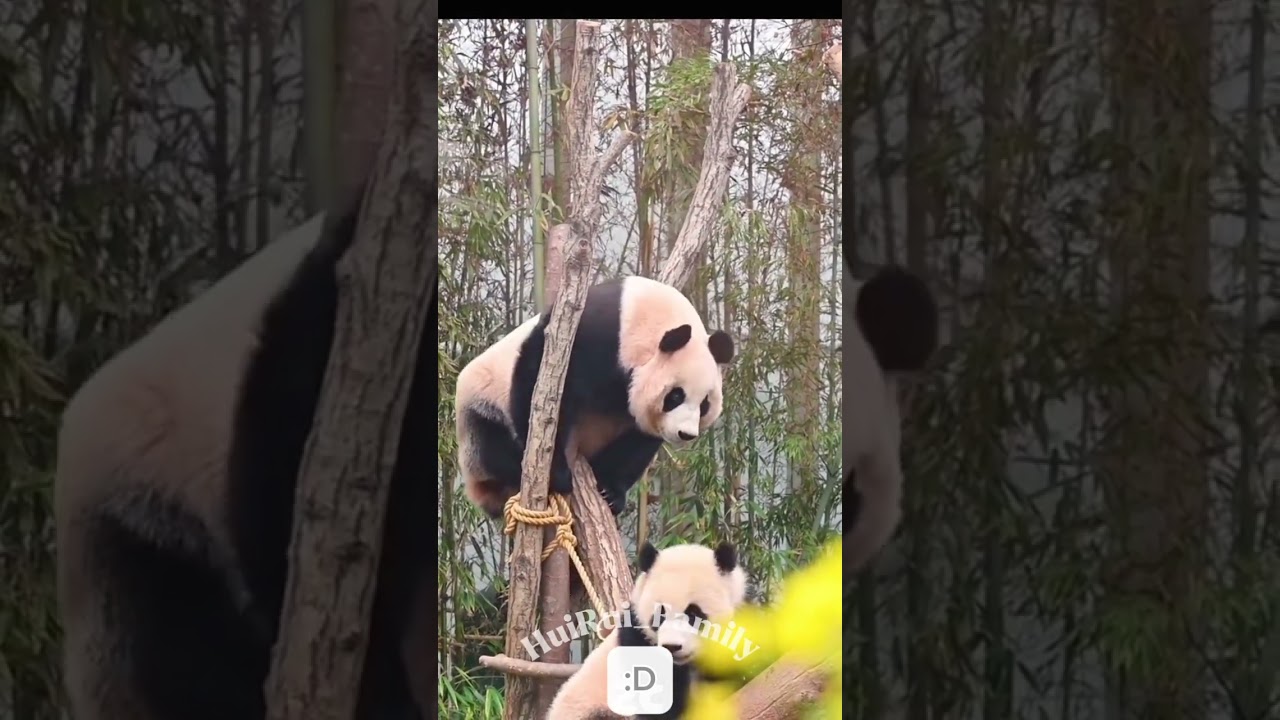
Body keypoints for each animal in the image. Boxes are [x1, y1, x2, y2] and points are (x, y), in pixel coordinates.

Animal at [455, 276, 736, 517]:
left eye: (705, 404)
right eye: (676, 396)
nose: (685, 434)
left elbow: (637, 441)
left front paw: (611, 492)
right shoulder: (590, 337)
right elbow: (539, 387)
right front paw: (557, 474)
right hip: (479, 408)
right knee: (492, 445)